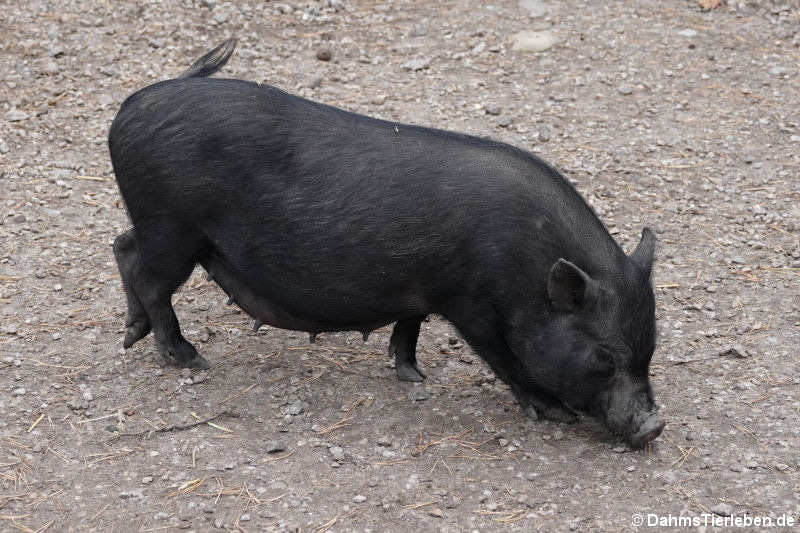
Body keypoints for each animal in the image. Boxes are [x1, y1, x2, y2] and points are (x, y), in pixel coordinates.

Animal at [109, 39, 664, 444]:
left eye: (651, 346)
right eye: (604, 356)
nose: (655, 426)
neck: (525, 267)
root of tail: (135, 103)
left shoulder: (421, 288)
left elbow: (409, 325)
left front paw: (412, 376)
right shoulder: (470, 305)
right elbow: (503, 358)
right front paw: (552, 413)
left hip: (165, 229)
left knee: (122, 245)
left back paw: (132, 335)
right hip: (173, 227)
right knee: (147, 275)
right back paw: (187, 357)